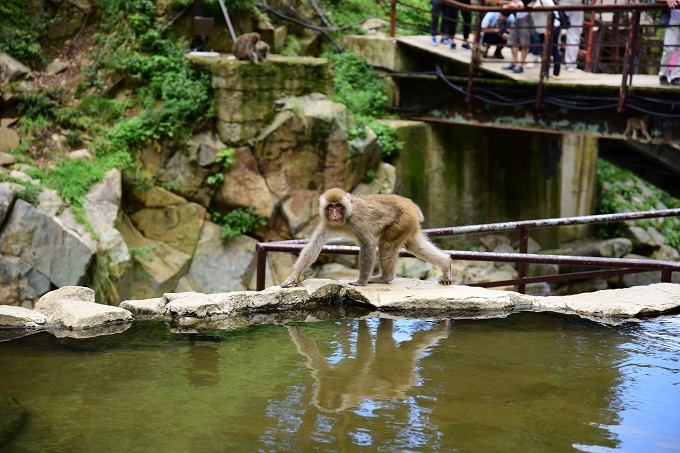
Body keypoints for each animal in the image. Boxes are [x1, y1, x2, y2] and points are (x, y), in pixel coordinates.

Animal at [278, 186, 454, 286]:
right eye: (330, 207)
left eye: (338, 206)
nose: (334, 214)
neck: (345, 218)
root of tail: (409, 203)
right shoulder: (327, 223)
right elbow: (314, 246)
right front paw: (293, 276)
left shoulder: (357, 221)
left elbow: (368, 244)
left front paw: (361, 281)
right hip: (409, 224)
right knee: (414, 245)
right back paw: (446, 263)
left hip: (403, 220)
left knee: (386, 244)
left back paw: (385, 278)